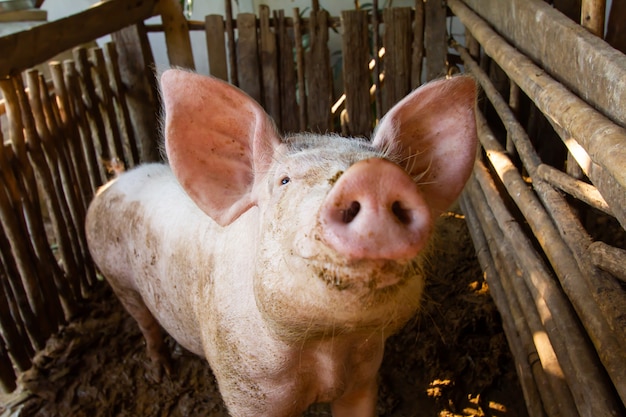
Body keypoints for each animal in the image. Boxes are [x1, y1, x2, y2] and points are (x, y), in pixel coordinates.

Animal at [85, 69, 476, 416]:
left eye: (398, 171)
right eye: (285, 181)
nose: (375, 177)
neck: (327, 348)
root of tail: (116, 179)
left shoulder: (364, 377)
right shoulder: (244, 389)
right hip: (116, 275)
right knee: (145, 323)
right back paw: (160, 371)